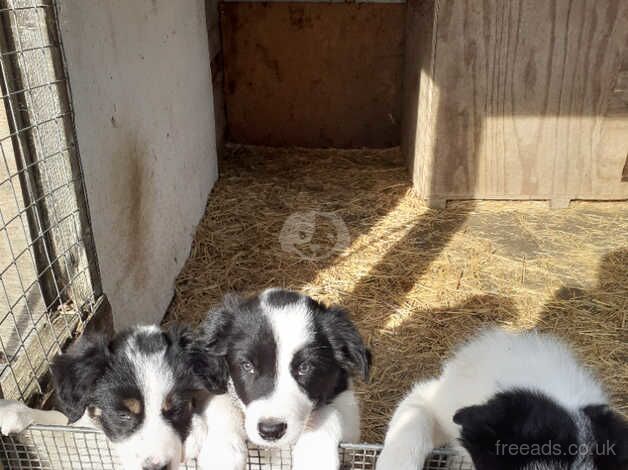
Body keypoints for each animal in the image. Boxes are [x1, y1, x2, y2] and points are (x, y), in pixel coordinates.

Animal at [0, 324, 228, 470]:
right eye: (122, 415)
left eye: (177, 409)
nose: (156, 468)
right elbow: (58, 424)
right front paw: (11, 411)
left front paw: (193, 436)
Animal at [196, 288, 370, 470]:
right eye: (247, 365)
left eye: (305, 367)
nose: (271, 431)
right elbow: (220, 401)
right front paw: (223, 451)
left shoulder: (349, 412)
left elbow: (330, 411)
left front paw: (314, 454)